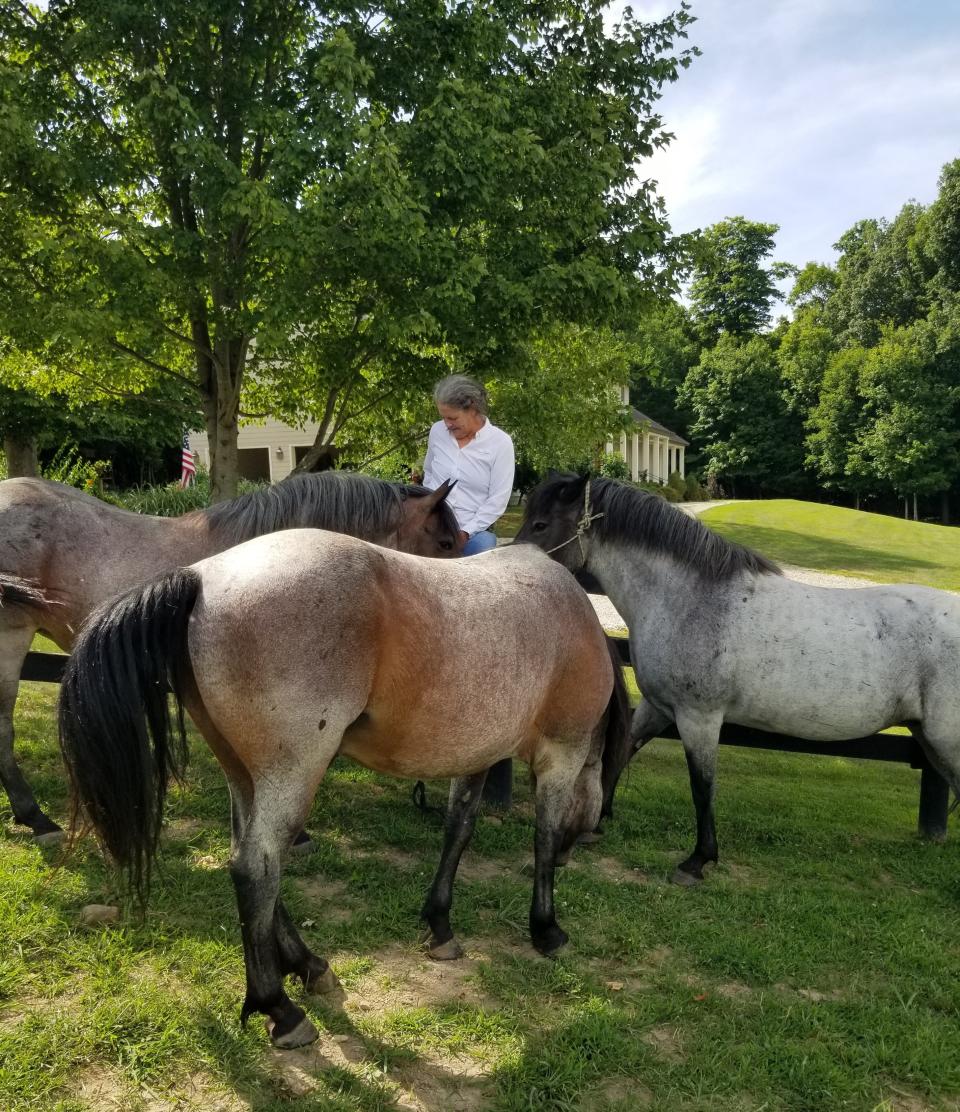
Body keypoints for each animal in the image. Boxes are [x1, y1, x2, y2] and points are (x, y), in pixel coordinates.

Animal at [56, 533, 636, 1045]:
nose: (581, 846)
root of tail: (202, 576)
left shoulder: (477, 757)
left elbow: (458, 830)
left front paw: (440, 925)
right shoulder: (561, 755)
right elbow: (541, 838)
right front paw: (546, 928)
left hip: (244, 773)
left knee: (248, 856)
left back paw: (308, 966)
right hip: (292, 772)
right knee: (255, 868)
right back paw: (279, 1008)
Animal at [518, 475, 960, 885]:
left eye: (540, 524)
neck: (689, 600)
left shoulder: (699, 718)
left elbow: (702, 786)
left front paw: (697, 861)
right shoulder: (658, 707)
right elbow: (623, 752)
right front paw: (595, 826)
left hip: (946, 742)